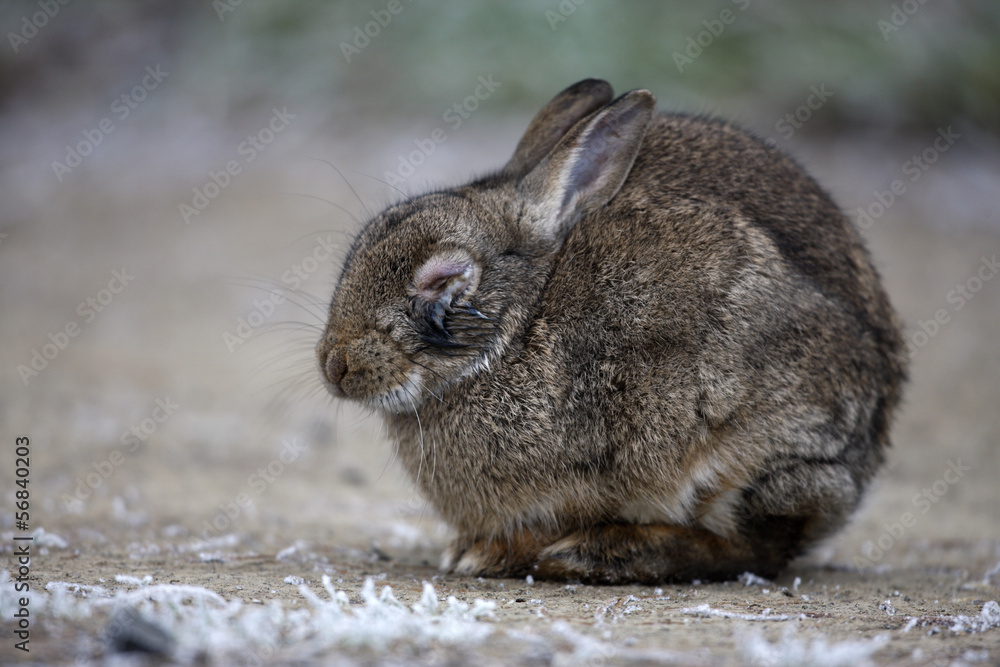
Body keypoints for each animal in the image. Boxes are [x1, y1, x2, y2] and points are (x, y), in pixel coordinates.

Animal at [316, 78, 907, 584]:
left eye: (441, 281)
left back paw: (601, 553)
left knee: (755, 549)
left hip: (750, 448)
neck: (520, 323)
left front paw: (486, 554)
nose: (335, 366)